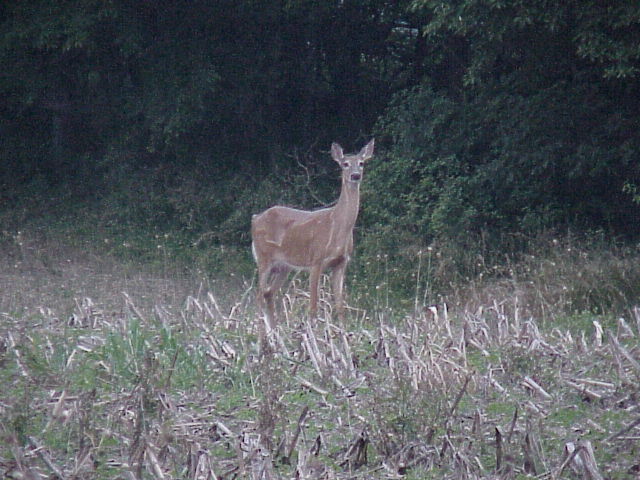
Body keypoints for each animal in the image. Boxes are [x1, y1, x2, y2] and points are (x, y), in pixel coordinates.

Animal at [251, 139, 374, 327]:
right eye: (345, 164)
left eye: (361, 163)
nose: (355, 175)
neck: (336, 226)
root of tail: (255, 218)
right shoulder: (316, 260)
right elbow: (313, 306)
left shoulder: (341, 263)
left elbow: (340, 307)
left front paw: (343, 332)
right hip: (264, 257)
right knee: (259, 295)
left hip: (284, 265)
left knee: (268, 293)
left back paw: (273, 330)